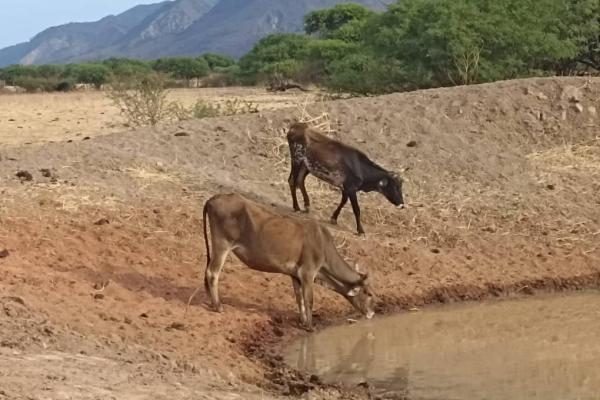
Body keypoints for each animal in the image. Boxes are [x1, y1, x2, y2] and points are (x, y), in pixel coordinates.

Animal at [202, 193, 376, 328]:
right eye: (368, 293)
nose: (372, 313)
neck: (322, 244)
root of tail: (213, 198)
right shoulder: (307, 273)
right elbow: (309, 300)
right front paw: (309, 325)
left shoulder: (295, 274)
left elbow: (299, 298)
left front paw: (302, 321)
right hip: (222, 244)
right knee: (212, 273)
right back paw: (218, 306)